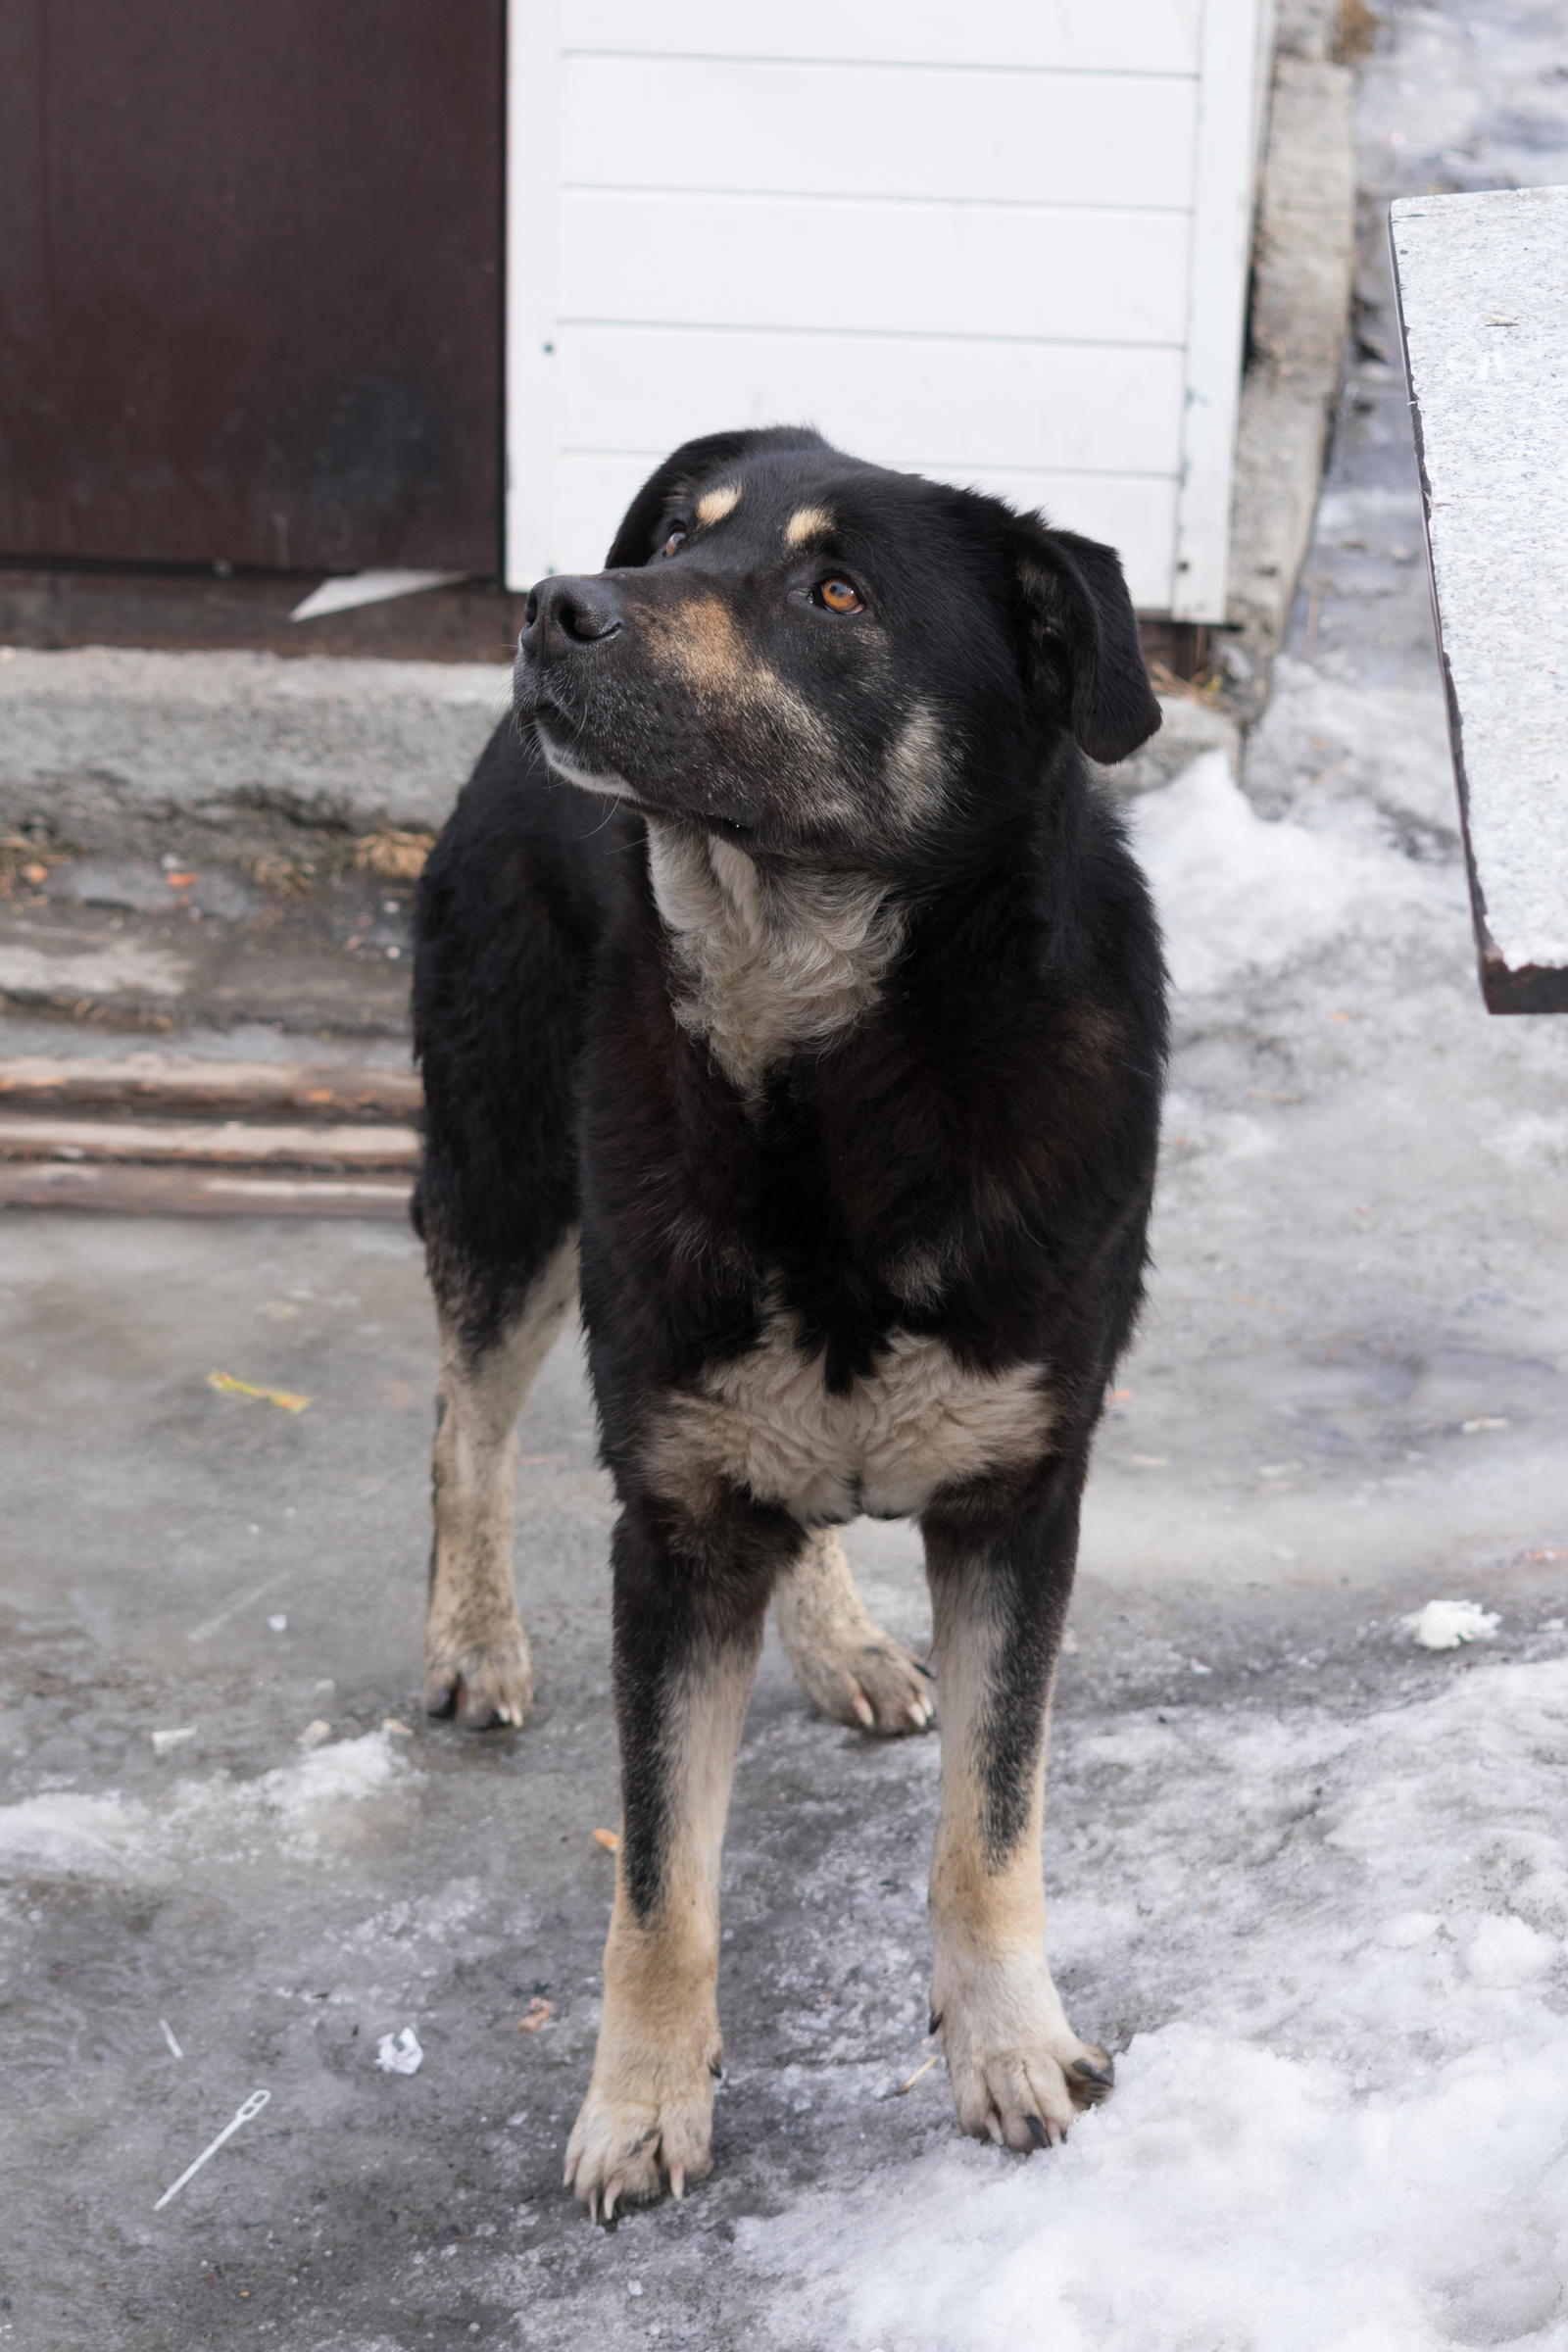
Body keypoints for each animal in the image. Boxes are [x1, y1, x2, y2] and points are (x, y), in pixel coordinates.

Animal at [411, 427, 1170, 2220]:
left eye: (835, 593)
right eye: (683, 540)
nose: (559, 604)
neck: (834, 1079)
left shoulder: (1020, 1498)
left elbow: (991, 1823)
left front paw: (1011, 2047)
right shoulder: (674, 1525)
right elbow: (660, 1881)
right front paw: (640, 2104)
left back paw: (837, 1638)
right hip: (510, 1174)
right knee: (465, 1415)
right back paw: (474, 1634)